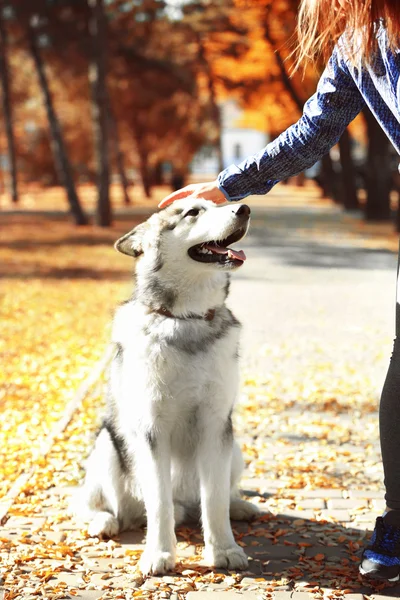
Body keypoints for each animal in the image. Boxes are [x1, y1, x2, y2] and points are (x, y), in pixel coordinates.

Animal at [72, 199, 260, 576]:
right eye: (193, 212)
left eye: (219, 204)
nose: (244, 208)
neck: (187, 319)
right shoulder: (151, 429)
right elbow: (158, 503)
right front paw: (158, 554)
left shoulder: (216, 424)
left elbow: (215, 500)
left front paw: (225, 549)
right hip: (107, 446)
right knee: (95, 504)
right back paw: (103, 520)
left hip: (234, 448)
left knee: (217, 497)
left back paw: (240, 505)